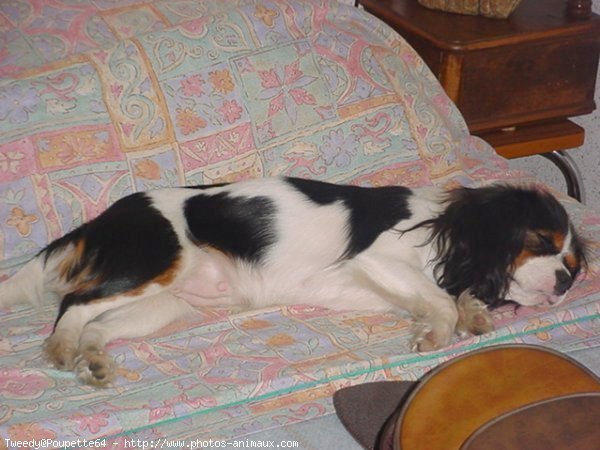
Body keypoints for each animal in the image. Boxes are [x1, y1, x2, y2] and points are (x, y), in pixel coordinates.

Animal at [0, 178, 584, 384]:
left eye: (574, 265)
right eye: (542, 242)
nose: (563, 283)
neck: (442, 226)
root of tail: (104, 217)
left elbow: (450, 292)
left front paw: (475, 312)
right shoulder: (378, 259)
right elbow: (438, 298)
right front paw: (438, 332)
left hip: (166, 304)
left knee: (99, 324)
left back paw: (94, 359)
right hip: (151, 264)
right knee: (74, 303)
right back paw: (61, 347)